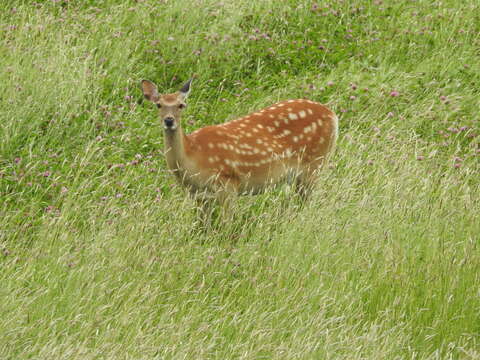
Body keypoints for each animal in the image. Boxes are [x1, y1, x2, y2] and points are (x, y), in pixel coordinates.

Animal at [141, 79, 340, 218]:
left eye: (181, 105)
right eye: (158, 105)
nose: (169, 120)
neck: (194, 156)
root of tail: (333, 115)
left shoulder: (228, 183)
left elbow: (227, 224)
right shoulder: (198, 194)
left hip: (314, 163)